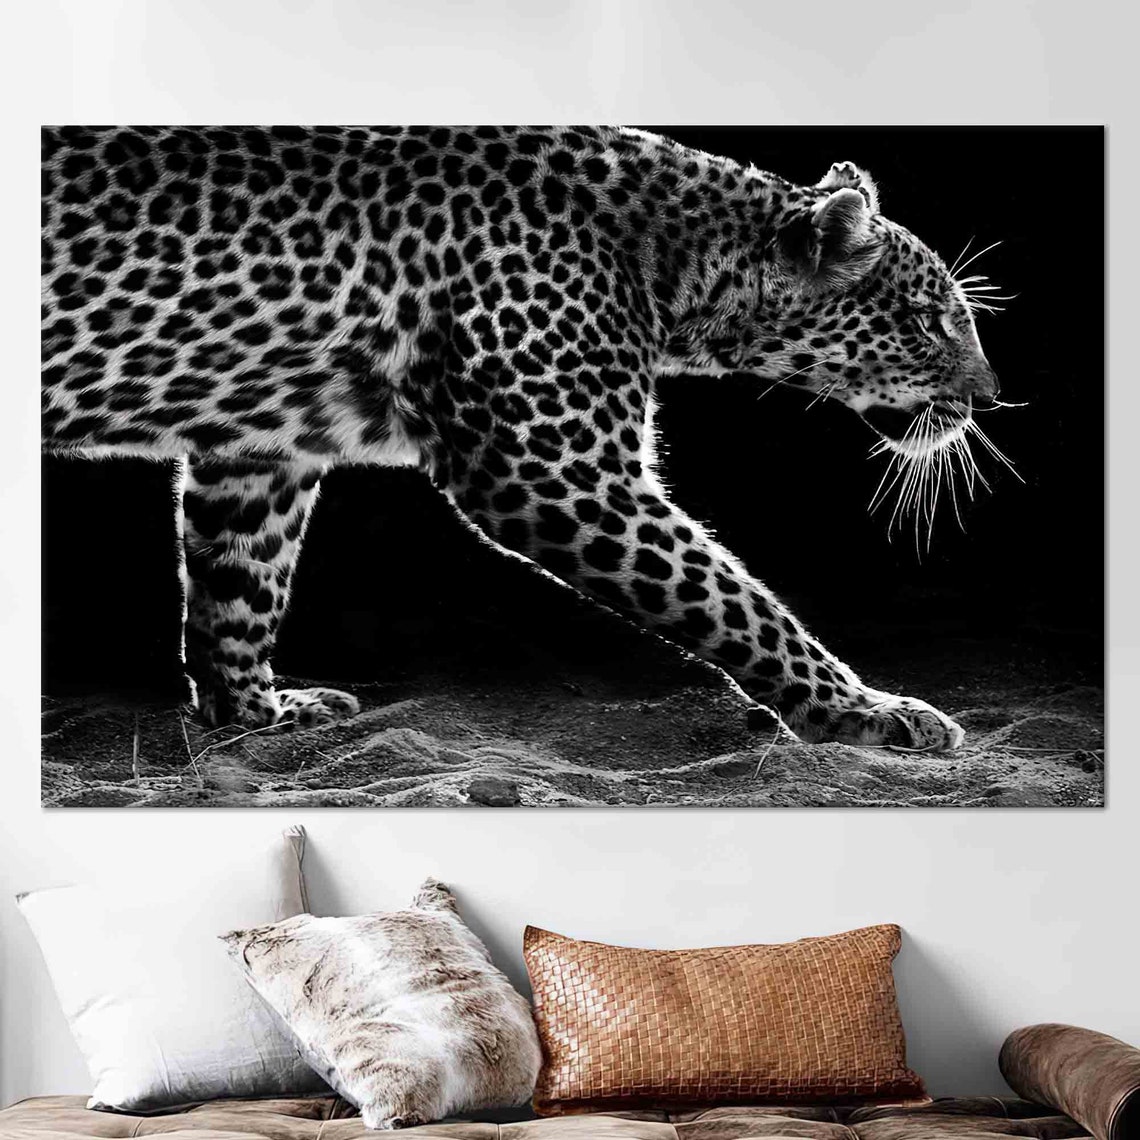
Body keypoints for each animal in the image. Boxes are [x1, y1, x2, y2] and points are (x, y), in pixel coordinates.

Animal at [41, 125, 1002, 750]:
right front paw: (864, 710)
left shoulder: (261, 449)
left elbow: (240, 587)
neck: (683, 265)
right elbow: (736, 600)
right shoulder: (555, 469)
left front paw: (255, 715)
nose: (989, 398)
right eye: (932, 320)